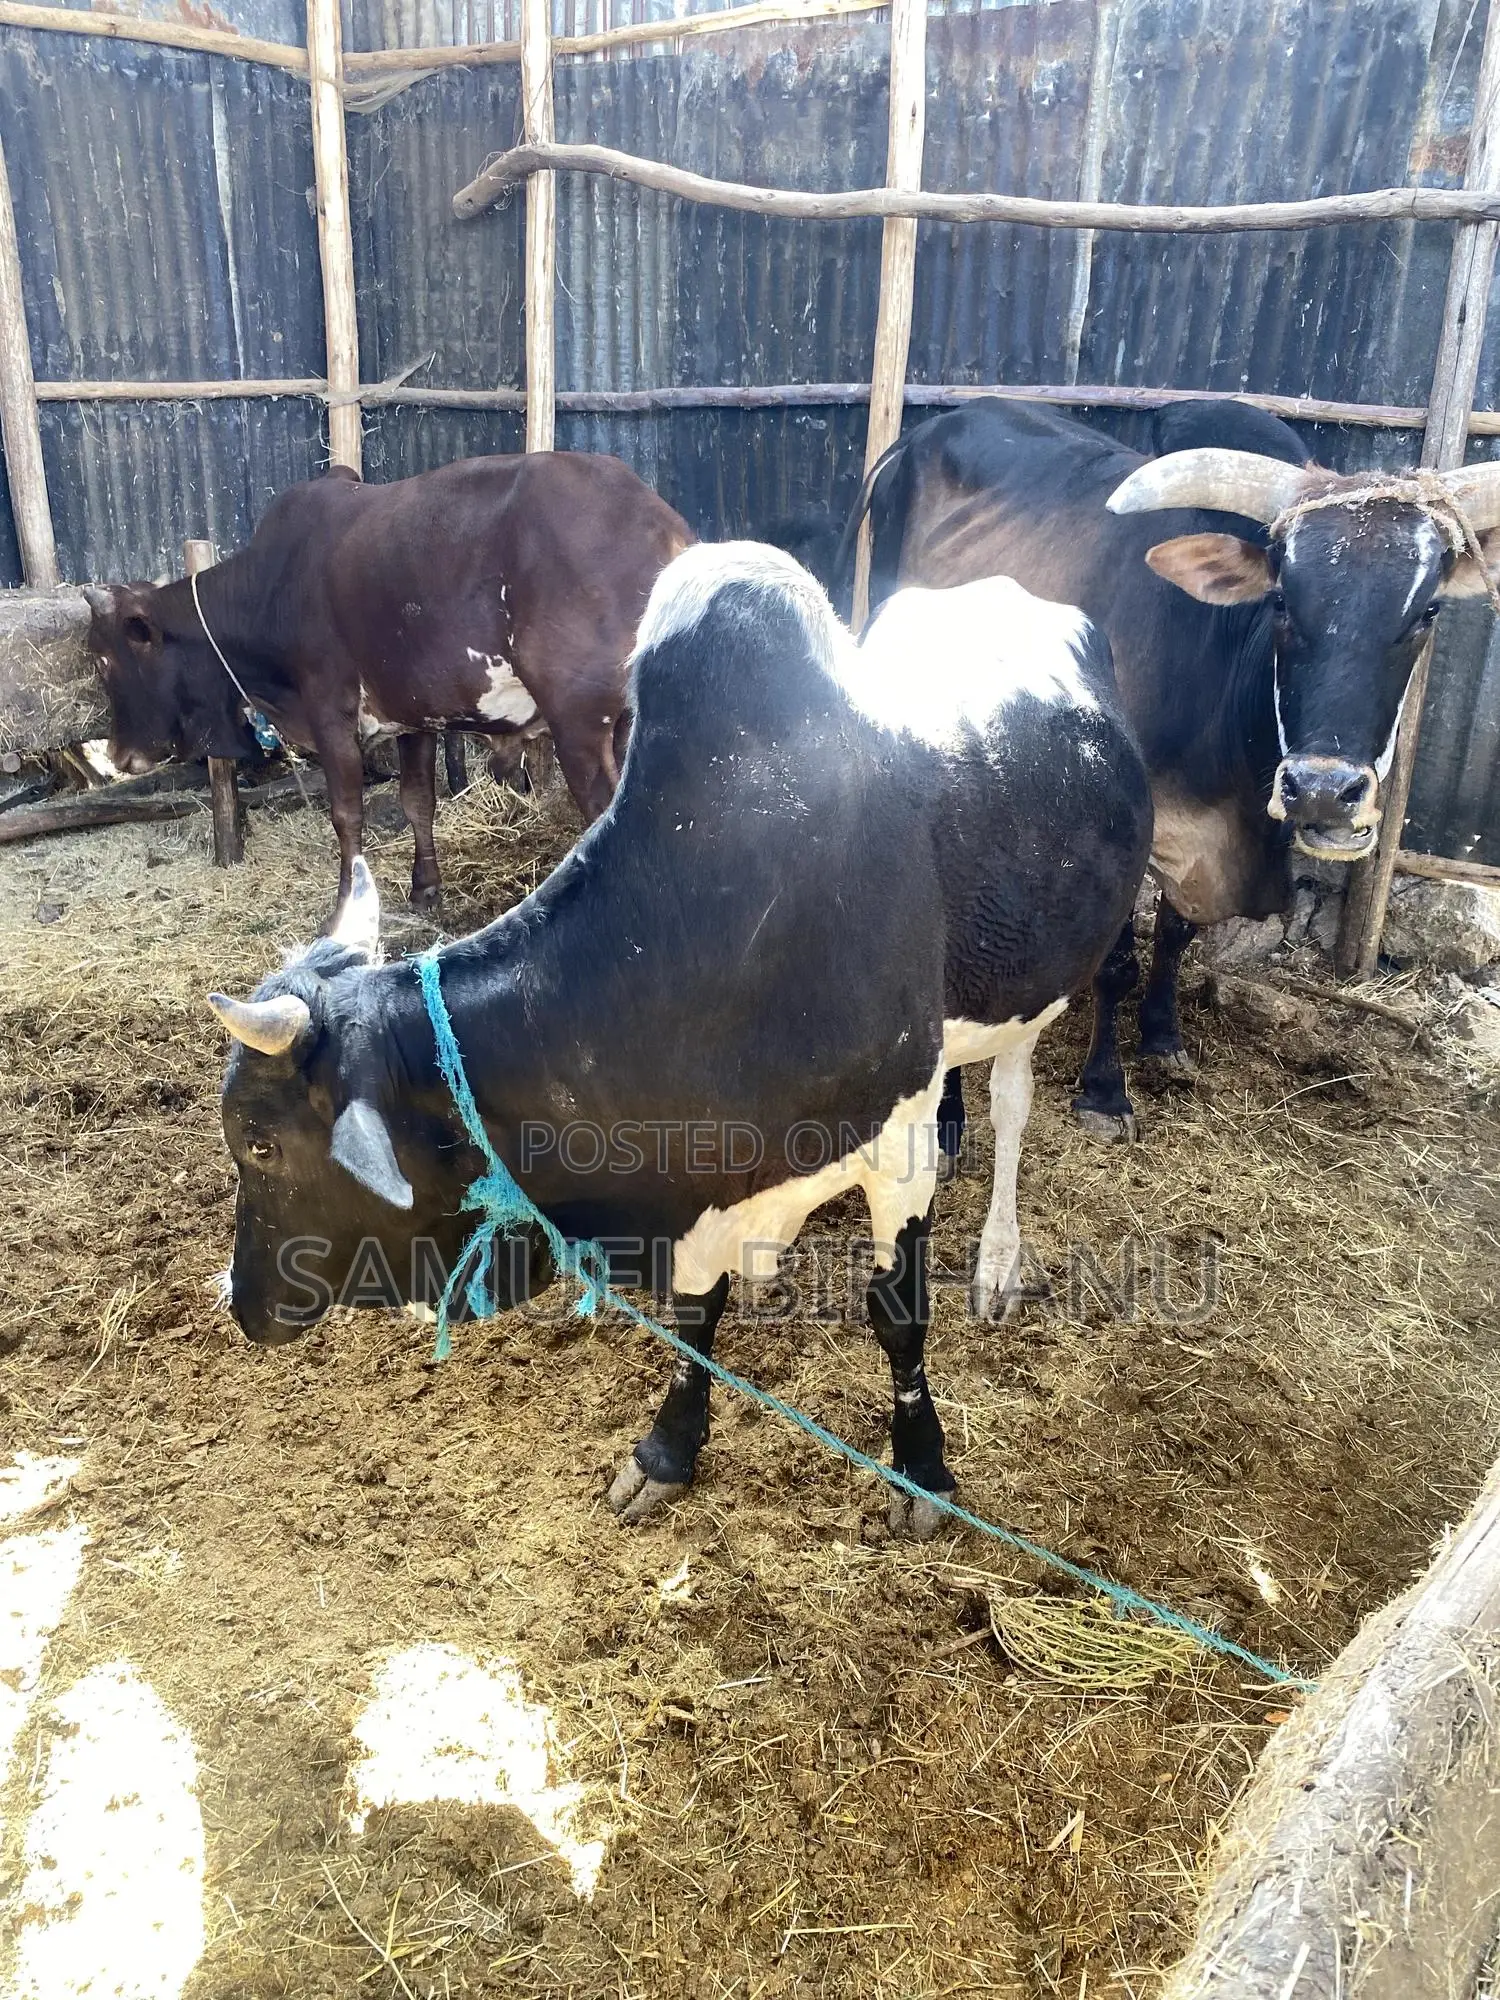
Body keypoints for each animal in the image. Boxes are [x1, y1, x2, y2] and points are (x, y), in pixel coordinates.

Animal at [86, 454, 694, 911]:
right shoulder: (413, 714)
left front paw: (345, 906)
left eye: (104, 660)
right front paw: (425, 889)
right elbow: (416, 801)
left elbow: (346, 814)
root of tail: (664, 527)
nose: (116, 753)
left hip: (580, 724)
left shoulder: (330, 709)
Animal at [207, 543, 1150, 1542]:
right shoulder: (704, 1183)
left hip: (1037, 987)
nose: (238, 1299)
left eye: (259, 1143)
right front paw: (666, 1451)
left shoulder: (895, 1141)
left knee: (1011, 1105)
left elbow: (897, 1312)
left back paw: (999, 1257)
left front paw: (923, 1470)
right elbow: (700, 1311)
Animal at [839, 397, 1500, 1139]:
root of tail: (929, 428)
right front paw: (1104, 1091)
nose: (1324, 791)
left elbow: (1178, 933)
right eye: (1281, 601)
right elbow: (1117, 965)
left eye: (1427, 611)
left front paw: (1161, 1034)